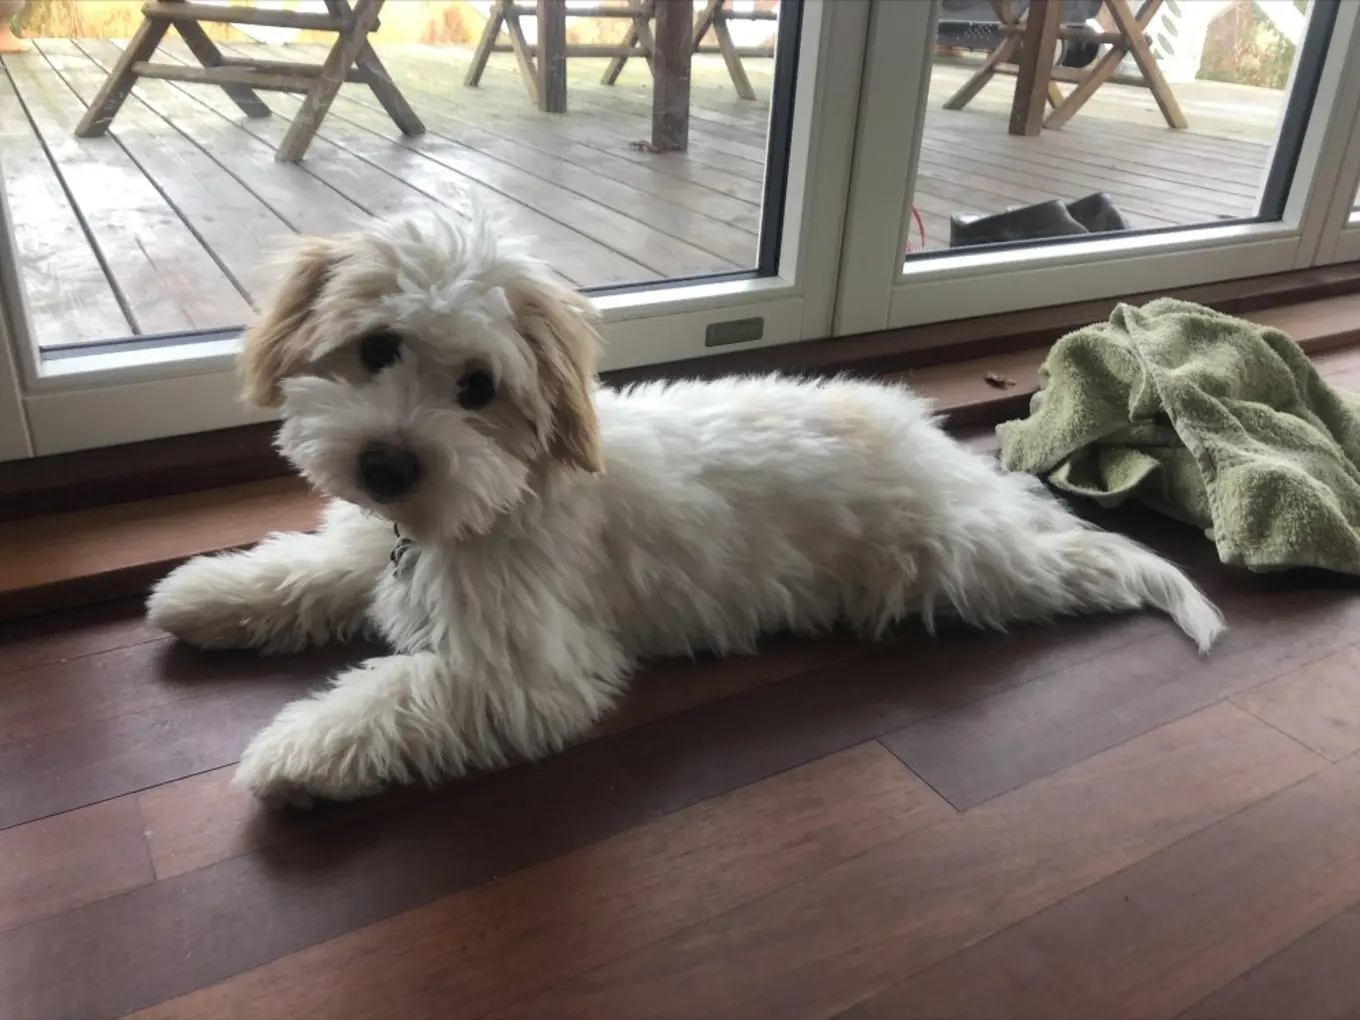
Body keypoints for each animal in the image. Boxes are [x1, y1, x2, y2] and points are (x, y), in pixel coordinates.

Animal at [146, 213, 1224, 805]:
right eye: (376, 349)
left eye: (478, 388)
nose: (387, 465)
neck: (500, 496)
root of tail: (932, 446)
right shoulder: (376, 548)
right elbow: (309, 568)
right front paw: (207, 594)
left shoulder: (519, 670)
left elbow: (395, 696)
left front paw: (293, 749)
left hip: (969, 565)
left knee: (1070, 562)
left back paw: (1152, 578)